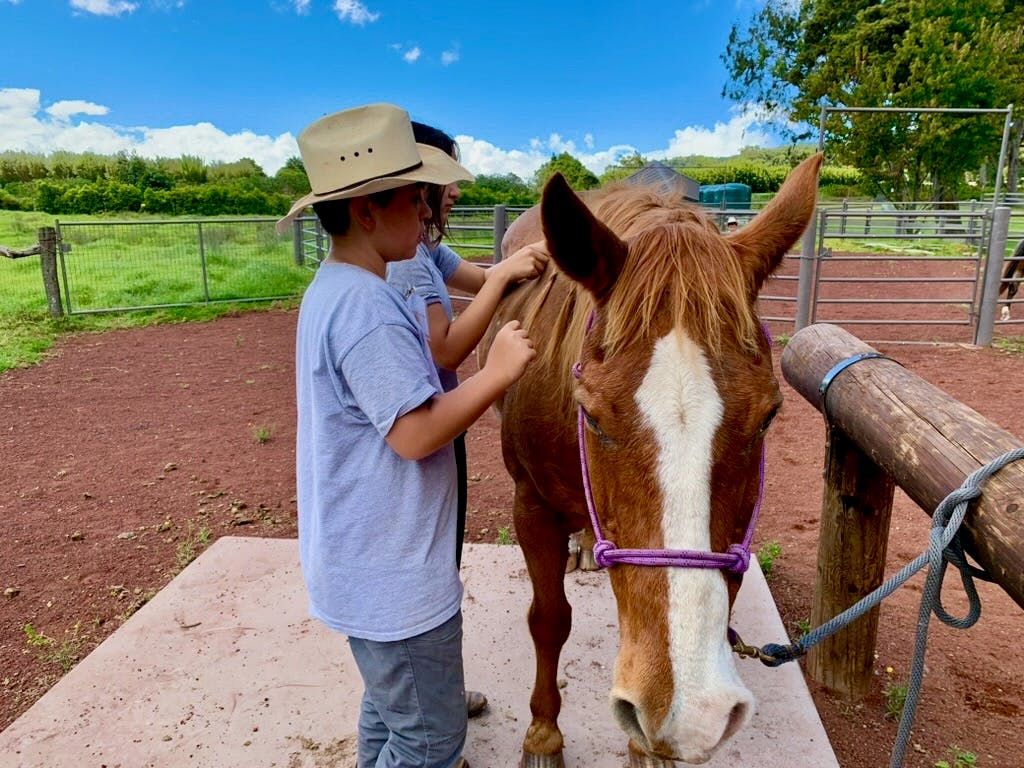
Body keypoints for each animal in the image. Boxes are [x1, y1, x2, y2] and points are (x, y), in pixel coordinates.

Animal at [477, 153, 823, 765]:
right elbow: (549, 620)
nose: (694, 711)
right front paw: (543, 733)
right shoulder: (531, 505)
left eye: (769, 416)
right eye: (590, 415)